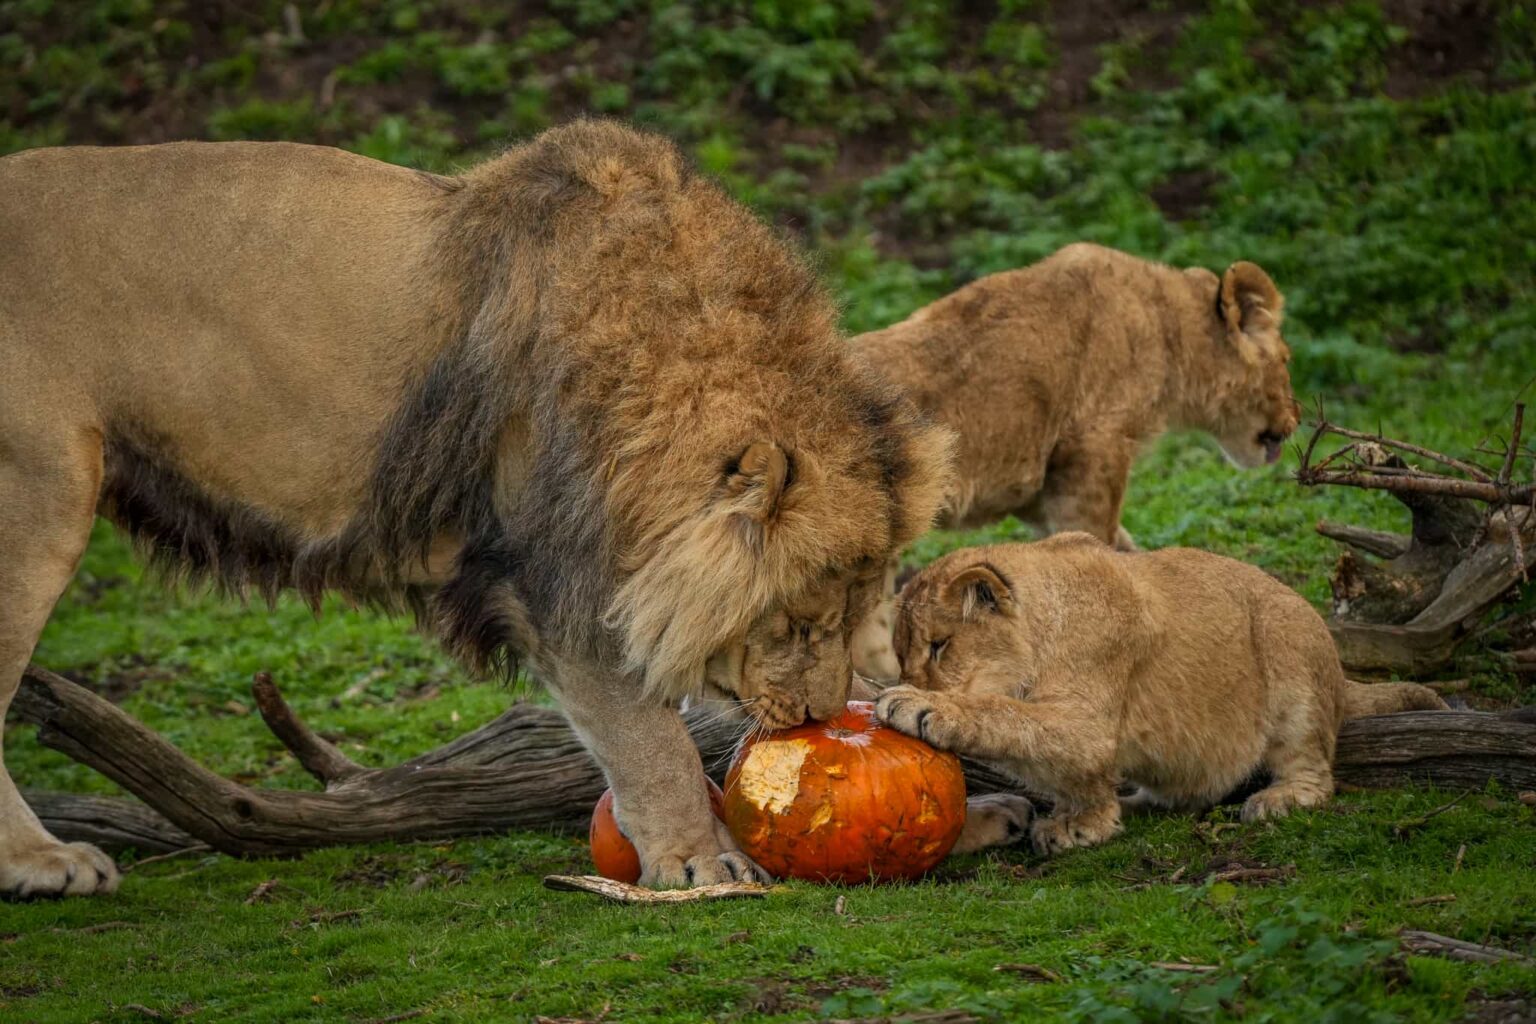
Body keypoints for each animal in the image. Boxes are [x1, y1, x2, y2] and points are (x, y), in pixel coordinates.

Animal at [0, 121, 952, 896]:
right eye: (795, 621)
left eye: (859, 616)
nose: (828, 719)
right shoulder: (553, 581)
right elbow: (651, 740)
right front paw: (701, 860)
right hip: (38, 500)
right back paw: (44, 864)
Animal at [849, 243, 1301, 680]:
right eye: (1286, 360)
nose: (1297, 418)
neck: (1168, 327)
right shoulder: (1094, 449)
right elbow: (1098, 543)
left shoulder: (1043, 487)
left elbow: (1114, 548)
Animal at [874, 535, 1446, 856]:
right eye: (902, 653)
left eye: (940, 646)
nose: (912, 682)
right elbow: (1063, 769)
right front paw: (1087, 821)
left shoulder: (1088, 726)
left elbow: (1006, 714)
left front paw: (919, 705)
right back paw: (1140, 802)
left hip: (1289, 646)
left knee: (1315, 771)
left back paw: (1281, 799)